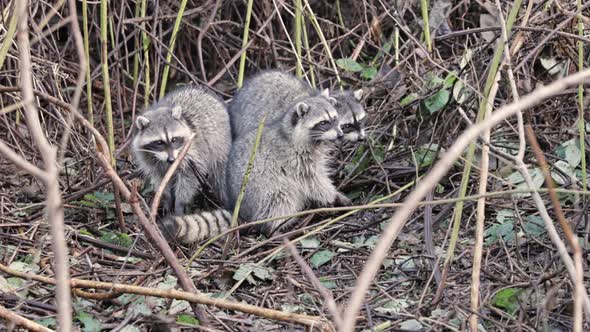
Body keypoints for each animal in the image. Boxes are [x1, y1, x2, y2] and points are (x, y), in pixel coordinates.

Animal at [131, 86, 231, 215]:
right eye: (159, 142)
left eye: (174, 139)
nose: (171, 159)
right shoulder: (151, 161)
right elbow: (161, 179)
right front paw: (167, 198)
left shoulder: (192, 152)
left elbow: (188, 180)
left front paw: (179, 203)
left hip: (220, 146)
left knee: (220, 175)